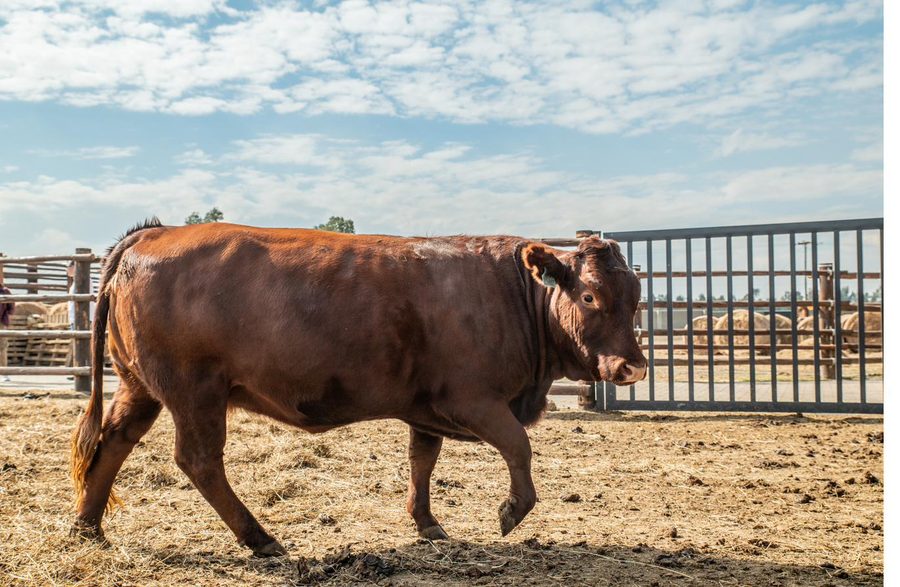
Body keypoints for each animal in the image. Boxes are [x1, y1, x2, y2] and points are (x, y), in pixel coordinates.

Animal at [71, 219, 646, 556]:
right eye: (590, 297)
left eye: (637, 298)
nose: (633, 367)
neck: (511, 293)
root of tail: (153, 233)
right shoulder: (476, 400)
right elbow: (518, 446)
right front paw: (510, 512)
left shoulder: (425, 407)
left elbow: (422, 460)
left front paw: (426, 523)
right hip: (196, 393)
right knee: (199, 460)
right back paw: (260, 537)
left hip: (139, 386)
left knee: (112, 443)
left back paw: (88, 526)